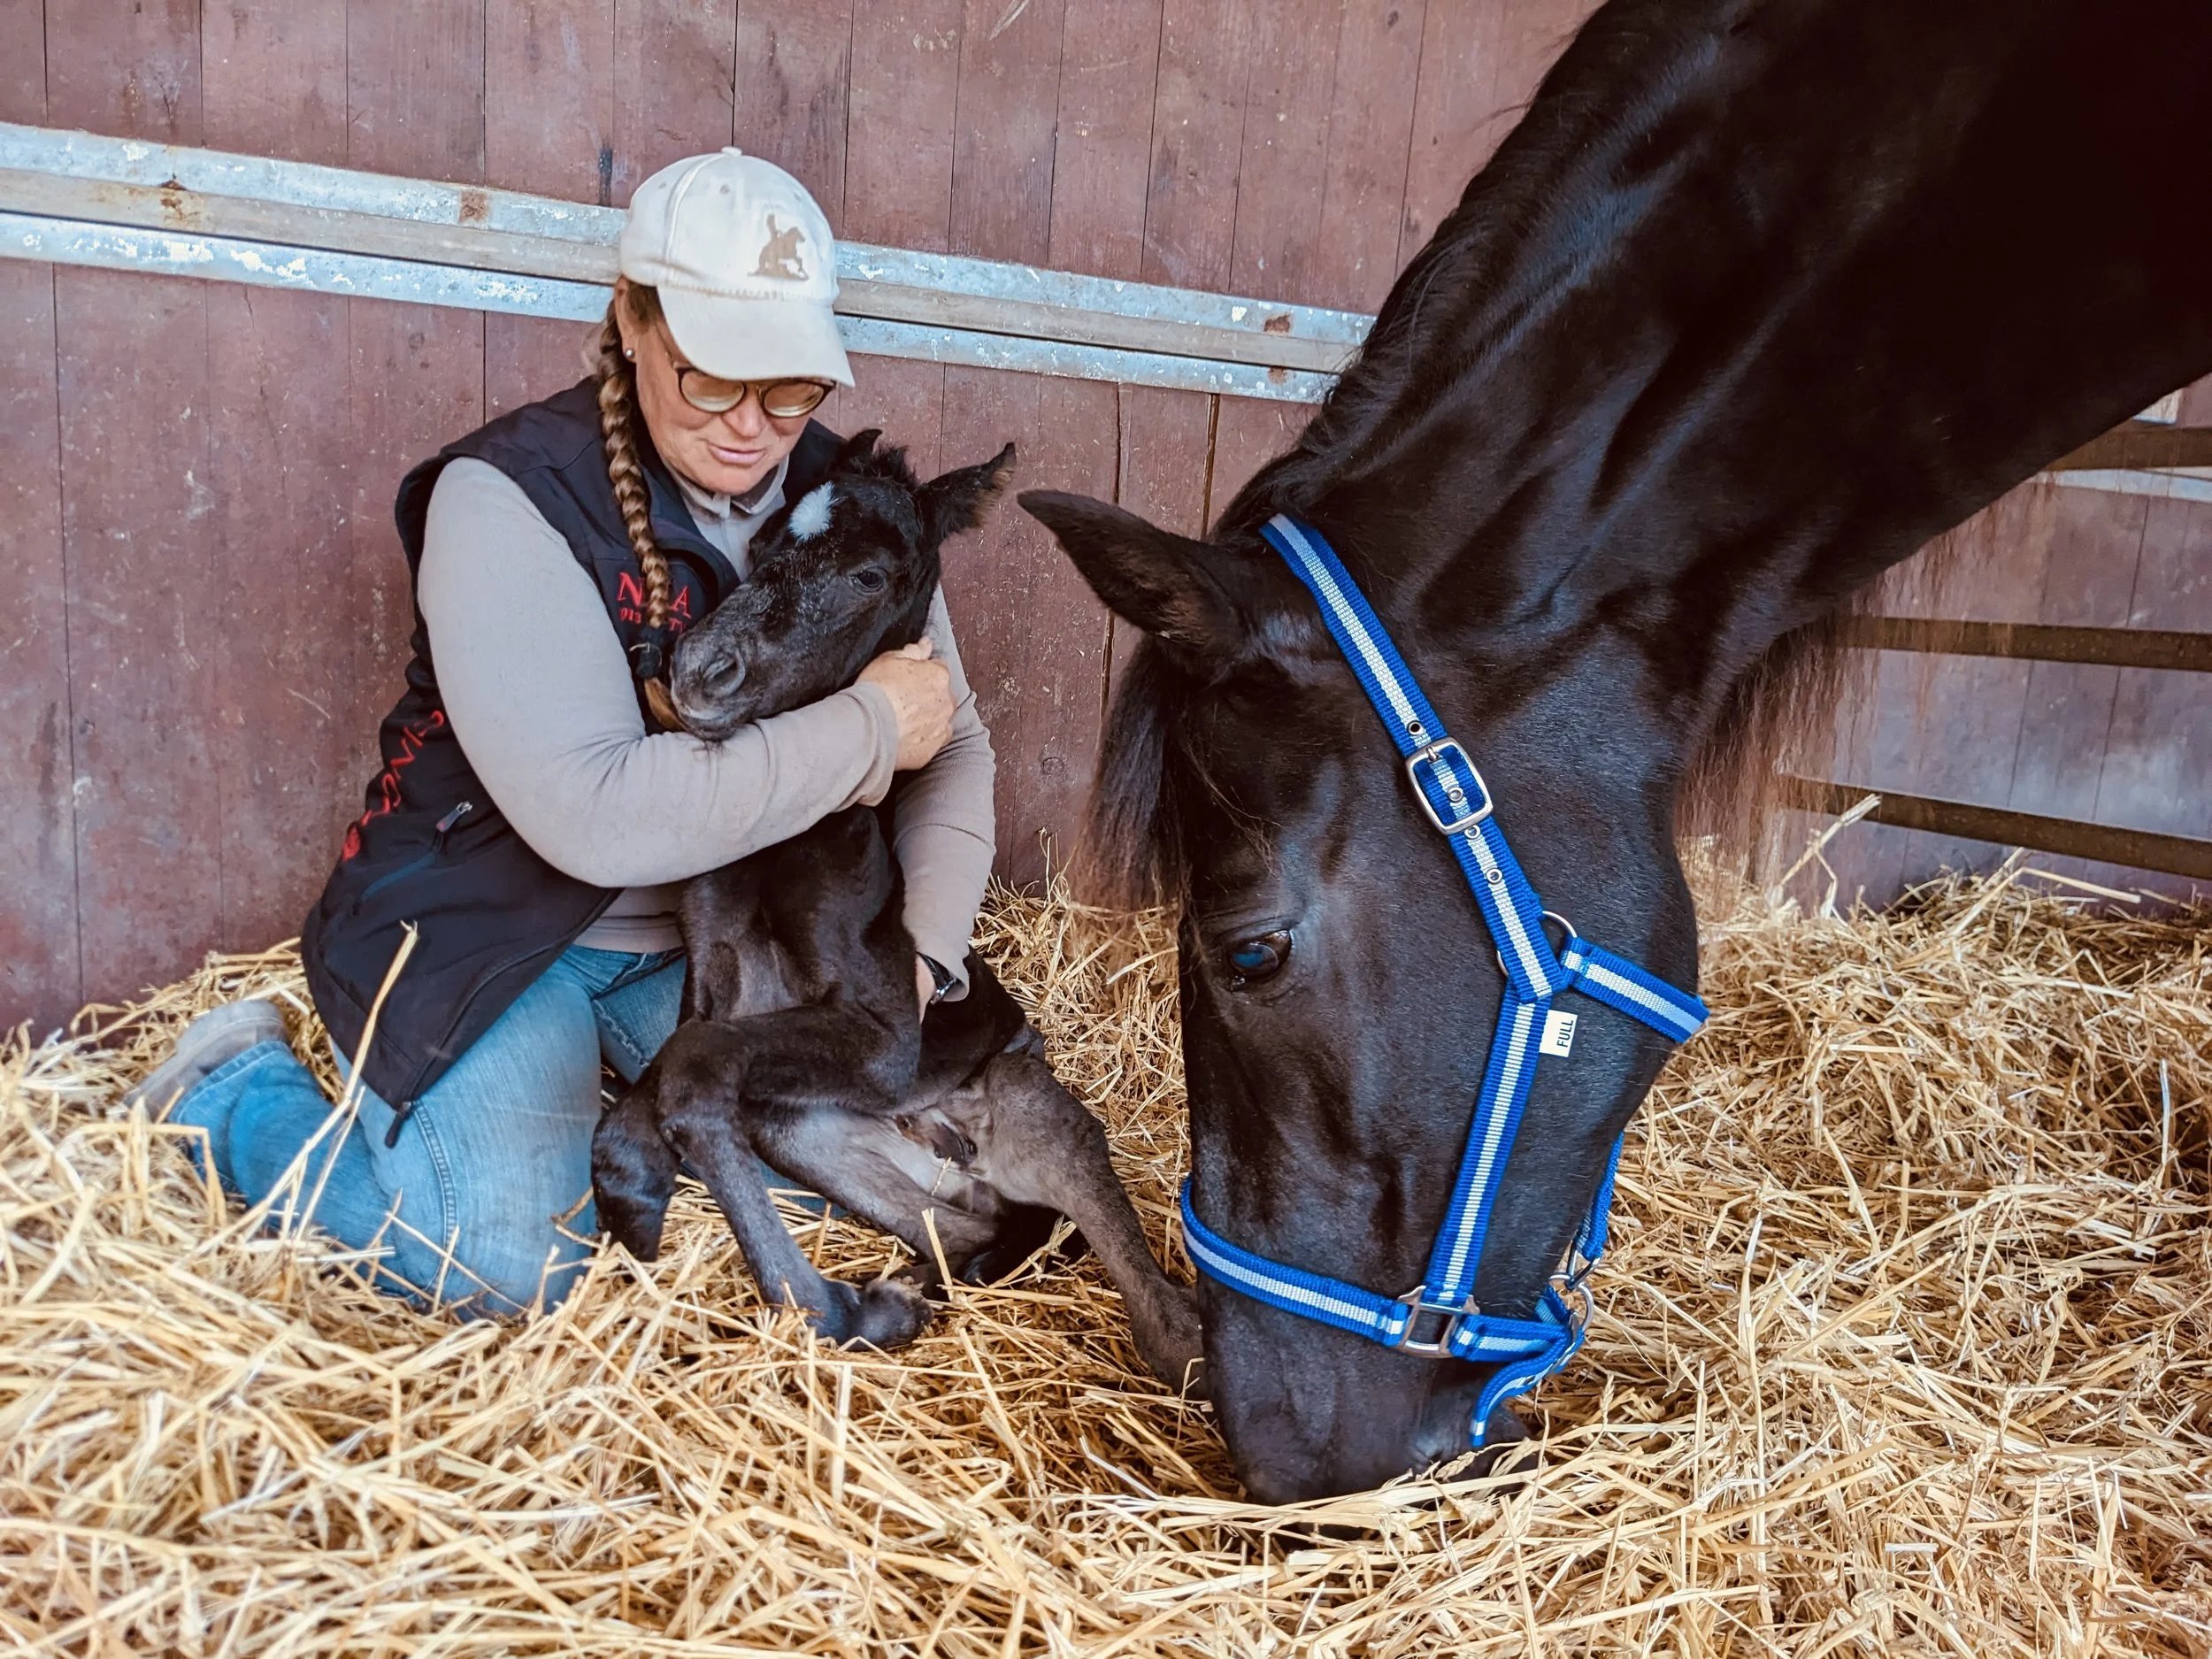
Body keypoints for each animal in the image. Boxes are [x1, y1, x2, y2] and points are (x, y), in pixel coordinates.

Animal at [592, 430, 1203, 1387]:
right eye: (762, 544)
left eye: (868, 576)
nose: (698, 670)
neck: (791, 841)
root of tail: (948, 1142)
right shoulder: (719, 980)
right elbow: (679, 1074)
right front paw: (630, 1180)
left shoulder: (884, 1037)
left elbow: (691, 1071)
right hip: (809, 1131)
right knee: (973, 1226)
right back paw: (901, 1294)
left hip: (1027, 1106)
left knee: (1148, 1305)